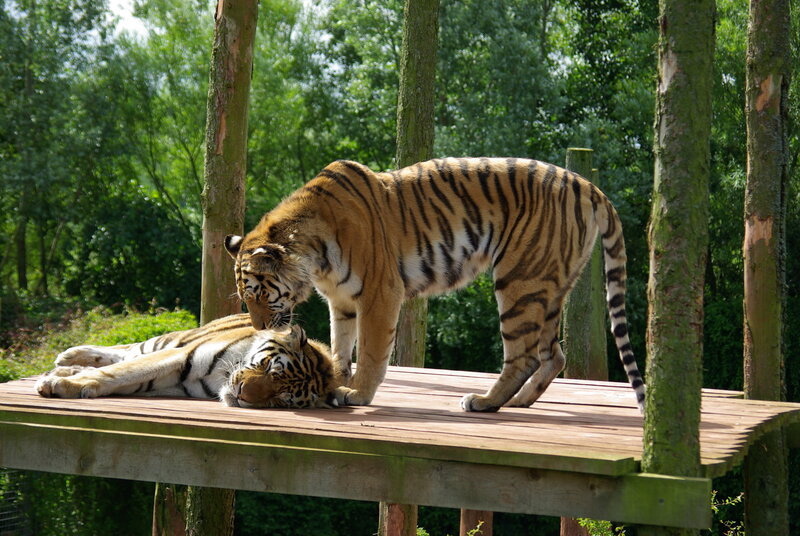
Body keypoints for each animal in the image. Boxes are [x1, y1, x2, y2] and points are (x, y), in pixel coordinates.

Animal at [35, 314, 343, 409]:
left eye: (280, 399)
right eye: (269, 367)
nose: (242, 393)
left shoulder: (171, 384)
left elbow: (126, 377)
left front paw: (63, 380)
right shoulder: (179, 355)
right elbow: (120, 370)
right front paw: (60, 384)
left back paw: (64, 367)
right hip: (166, 341)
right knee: (129, 349)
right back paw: (68, 355)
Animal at [224, 157, 645, 413]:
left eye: (258, 294)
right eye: (245, 298)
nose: (259, 328)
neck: (315, 260)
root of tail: (585, 184)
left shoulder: (379, 294)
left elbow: (372, 352)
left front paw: (357, 393)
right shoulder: (341, 302)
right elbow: (342, 348)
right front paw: (336, 382)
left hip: (519, 281)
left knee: (524, 355)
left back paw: (484, 401)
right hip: (550, 286)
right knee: (553, 355)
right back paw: (518, 403)